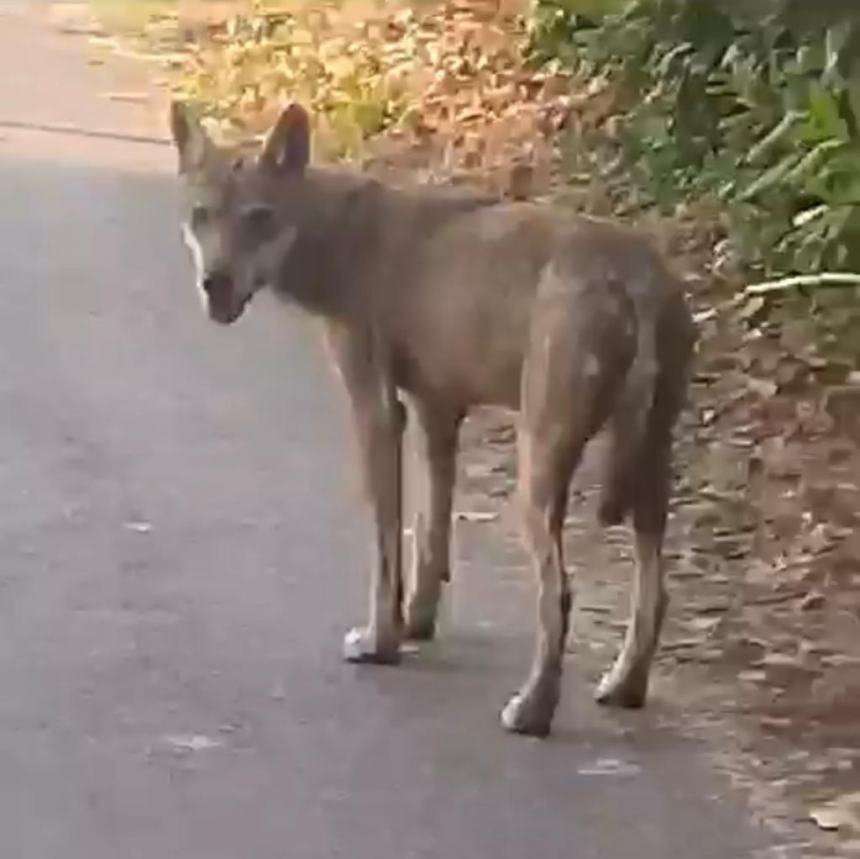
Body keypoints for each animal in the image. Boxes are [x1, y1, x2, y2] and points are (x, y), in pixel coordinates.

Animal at [170, 97, 700, 736]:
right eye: (202, 216)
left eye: (259, 219)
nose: (214, 283)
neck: (340, 235)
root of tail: (636, 271)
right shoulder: (437, 412)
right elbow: (431, 534)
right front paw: (418, 621)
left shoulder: (376, 409)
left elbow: (386, 545)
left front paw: (381, 641)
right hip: (648, 470)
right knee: (657, 591)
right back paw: (625, 685)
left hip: (539, 474)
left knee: (560, 596)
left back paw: (533, 710)